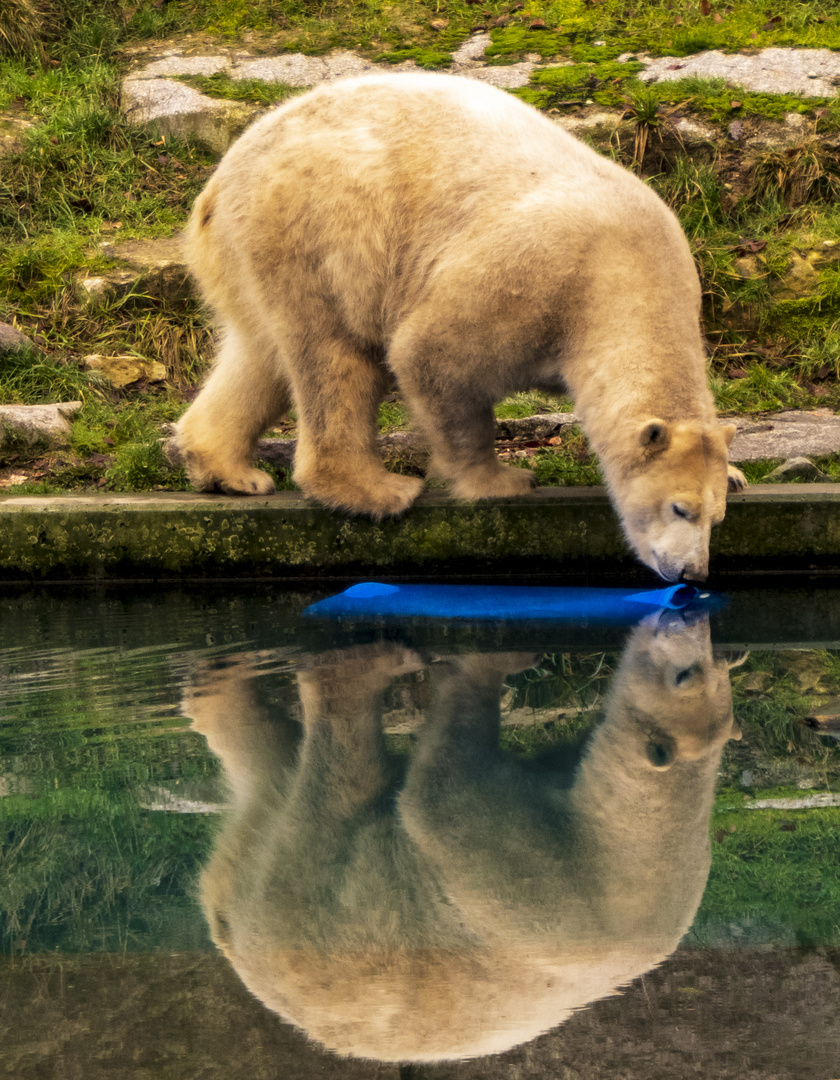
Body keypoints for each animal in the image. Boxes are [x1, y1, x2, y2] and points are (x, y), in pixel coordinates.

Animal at [174, 71, 738, 583]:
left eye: (716, 518)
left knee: (259, 354)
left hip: (248, 255)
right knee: (337, 355)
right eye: (680, 508)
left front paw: (735, 471)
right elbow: (432, 355)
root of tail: (221, 180)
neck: (631, 276)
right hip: (320, 227)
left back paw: (230, 472)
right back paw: (379, 490)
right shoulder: (540, 279)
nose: (693, 573)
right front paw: (503, 480)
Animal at [186, 617, 738, 1062]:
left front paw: (486, 663)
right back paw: (215, 685)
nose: (689, 615)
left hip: (311, 917)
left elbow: (441, 798)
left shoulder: (548, 879)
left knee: (331, 794)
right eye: (695, 671)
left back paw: (352, 668)